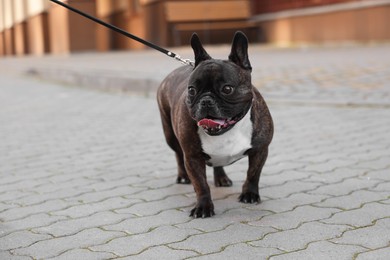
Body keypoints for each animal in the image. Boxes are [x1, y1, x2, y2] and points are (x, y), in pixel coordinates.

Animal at [157, 31, 272, 217]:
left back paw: (222, 178)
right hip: (170, 135)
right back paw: (183, 177)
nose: (206, 101)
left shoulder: (260, 149)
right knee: (178, 154)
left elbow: (253, 174)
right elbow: (201, 185)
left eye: (227, 89)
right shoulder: (193, 157)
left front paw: (250, 194)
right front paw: (203, 207)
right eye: (191, 90)